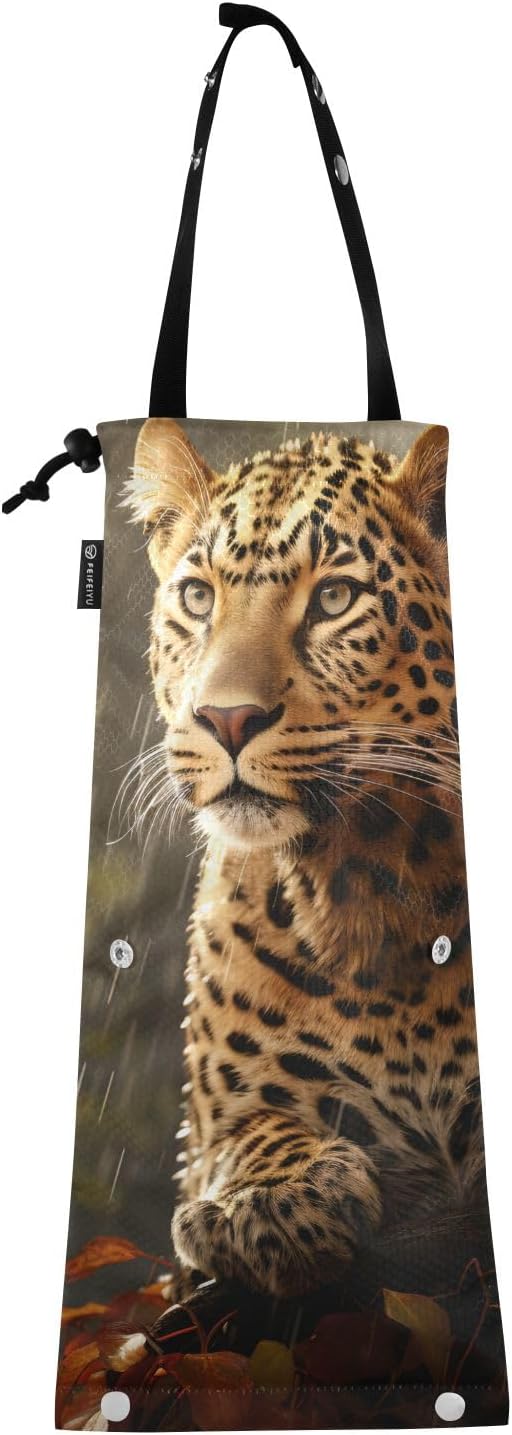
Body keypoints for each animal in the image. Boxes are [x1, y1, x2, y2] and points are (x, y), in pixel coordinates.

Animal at [124, 418, 481, 1300]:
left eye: (334, 599)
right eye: (199, 597)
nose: (226, 718)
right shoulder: (211, 1131)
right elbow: (250, 1137)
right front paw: (268, 1203)